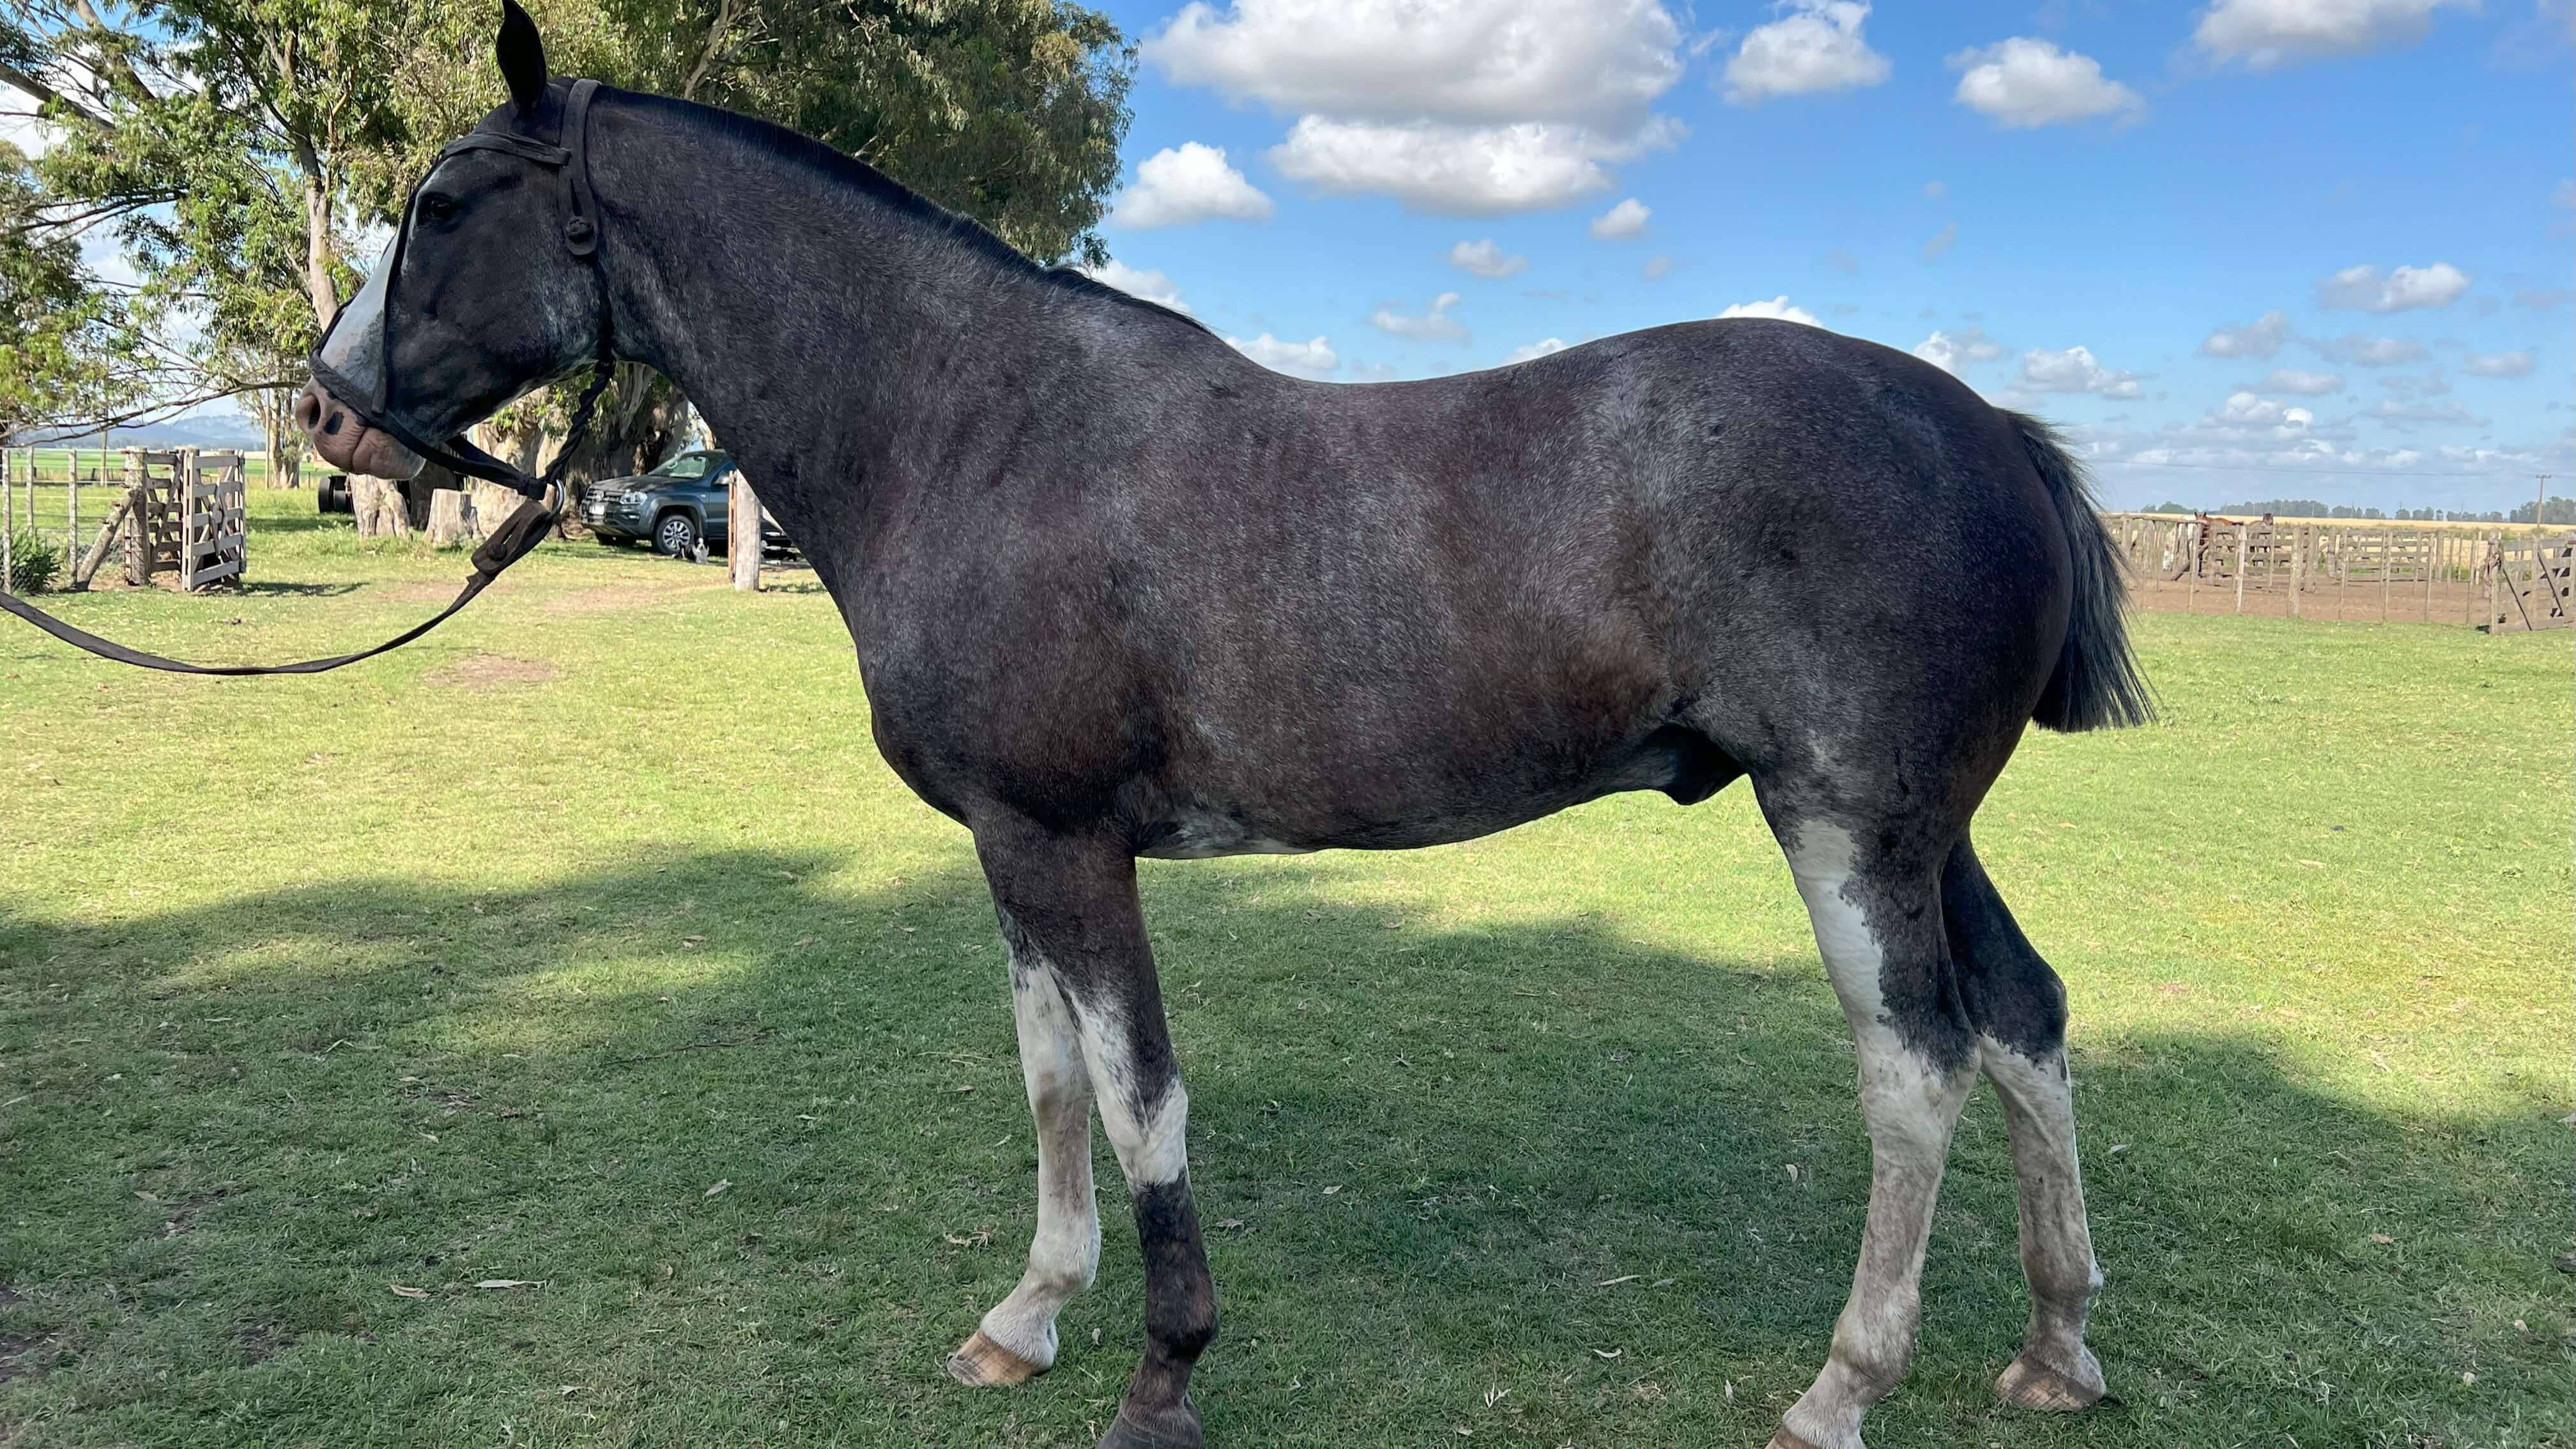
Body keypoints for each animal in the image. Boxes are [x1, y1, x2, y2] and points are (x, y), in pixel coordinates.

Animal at [297, 9, 2151, 1446]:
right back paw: (2056, 1344)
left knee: (1914, 1066)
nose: (322, 412)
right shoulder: (1012, 849)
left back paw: (1843, 1386)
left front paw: (1163, 1370)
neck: (973, 430)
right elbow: (1052, 1079)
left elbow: (1140, 1099)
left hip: (1847, 826)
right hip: (1930, 835)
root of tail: (1990, 430)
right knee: (2024, 1020)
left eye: (443, 203)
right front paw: (1027, 1316)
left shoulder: (1070, 843)